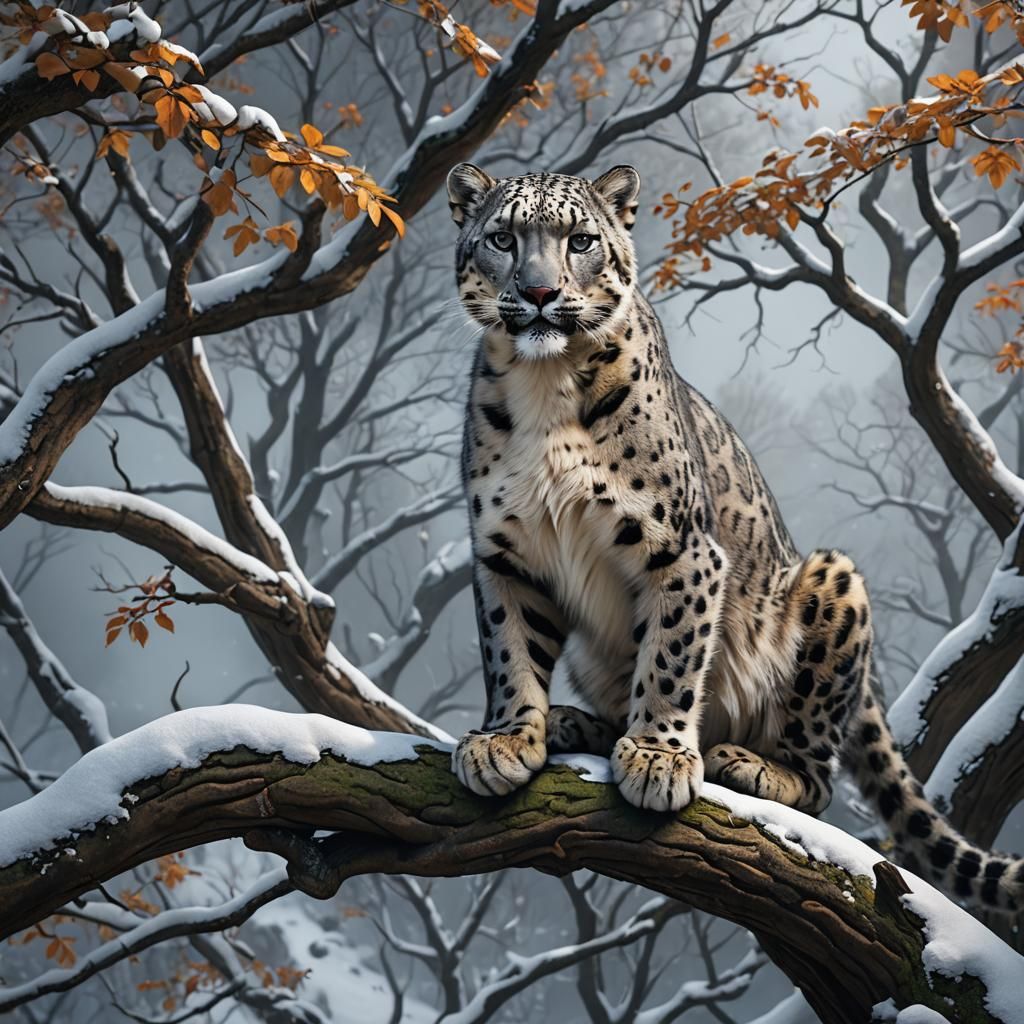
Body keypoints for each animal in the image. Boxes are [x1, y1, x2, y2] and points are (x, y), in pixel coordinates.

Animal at [446, 161, 1024, 912]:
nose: (540, 292)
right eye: (502, 238)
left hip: (833, 585)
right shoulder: (505, 552)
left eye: (580, 241)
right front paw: (508, 739)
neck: (545, 382)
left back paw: (748, 764)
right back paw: (577, 723)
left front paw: (657, 756)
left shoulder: (681, 547)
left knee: (817, 773)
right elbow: (509, 649)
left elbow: (670, 655)